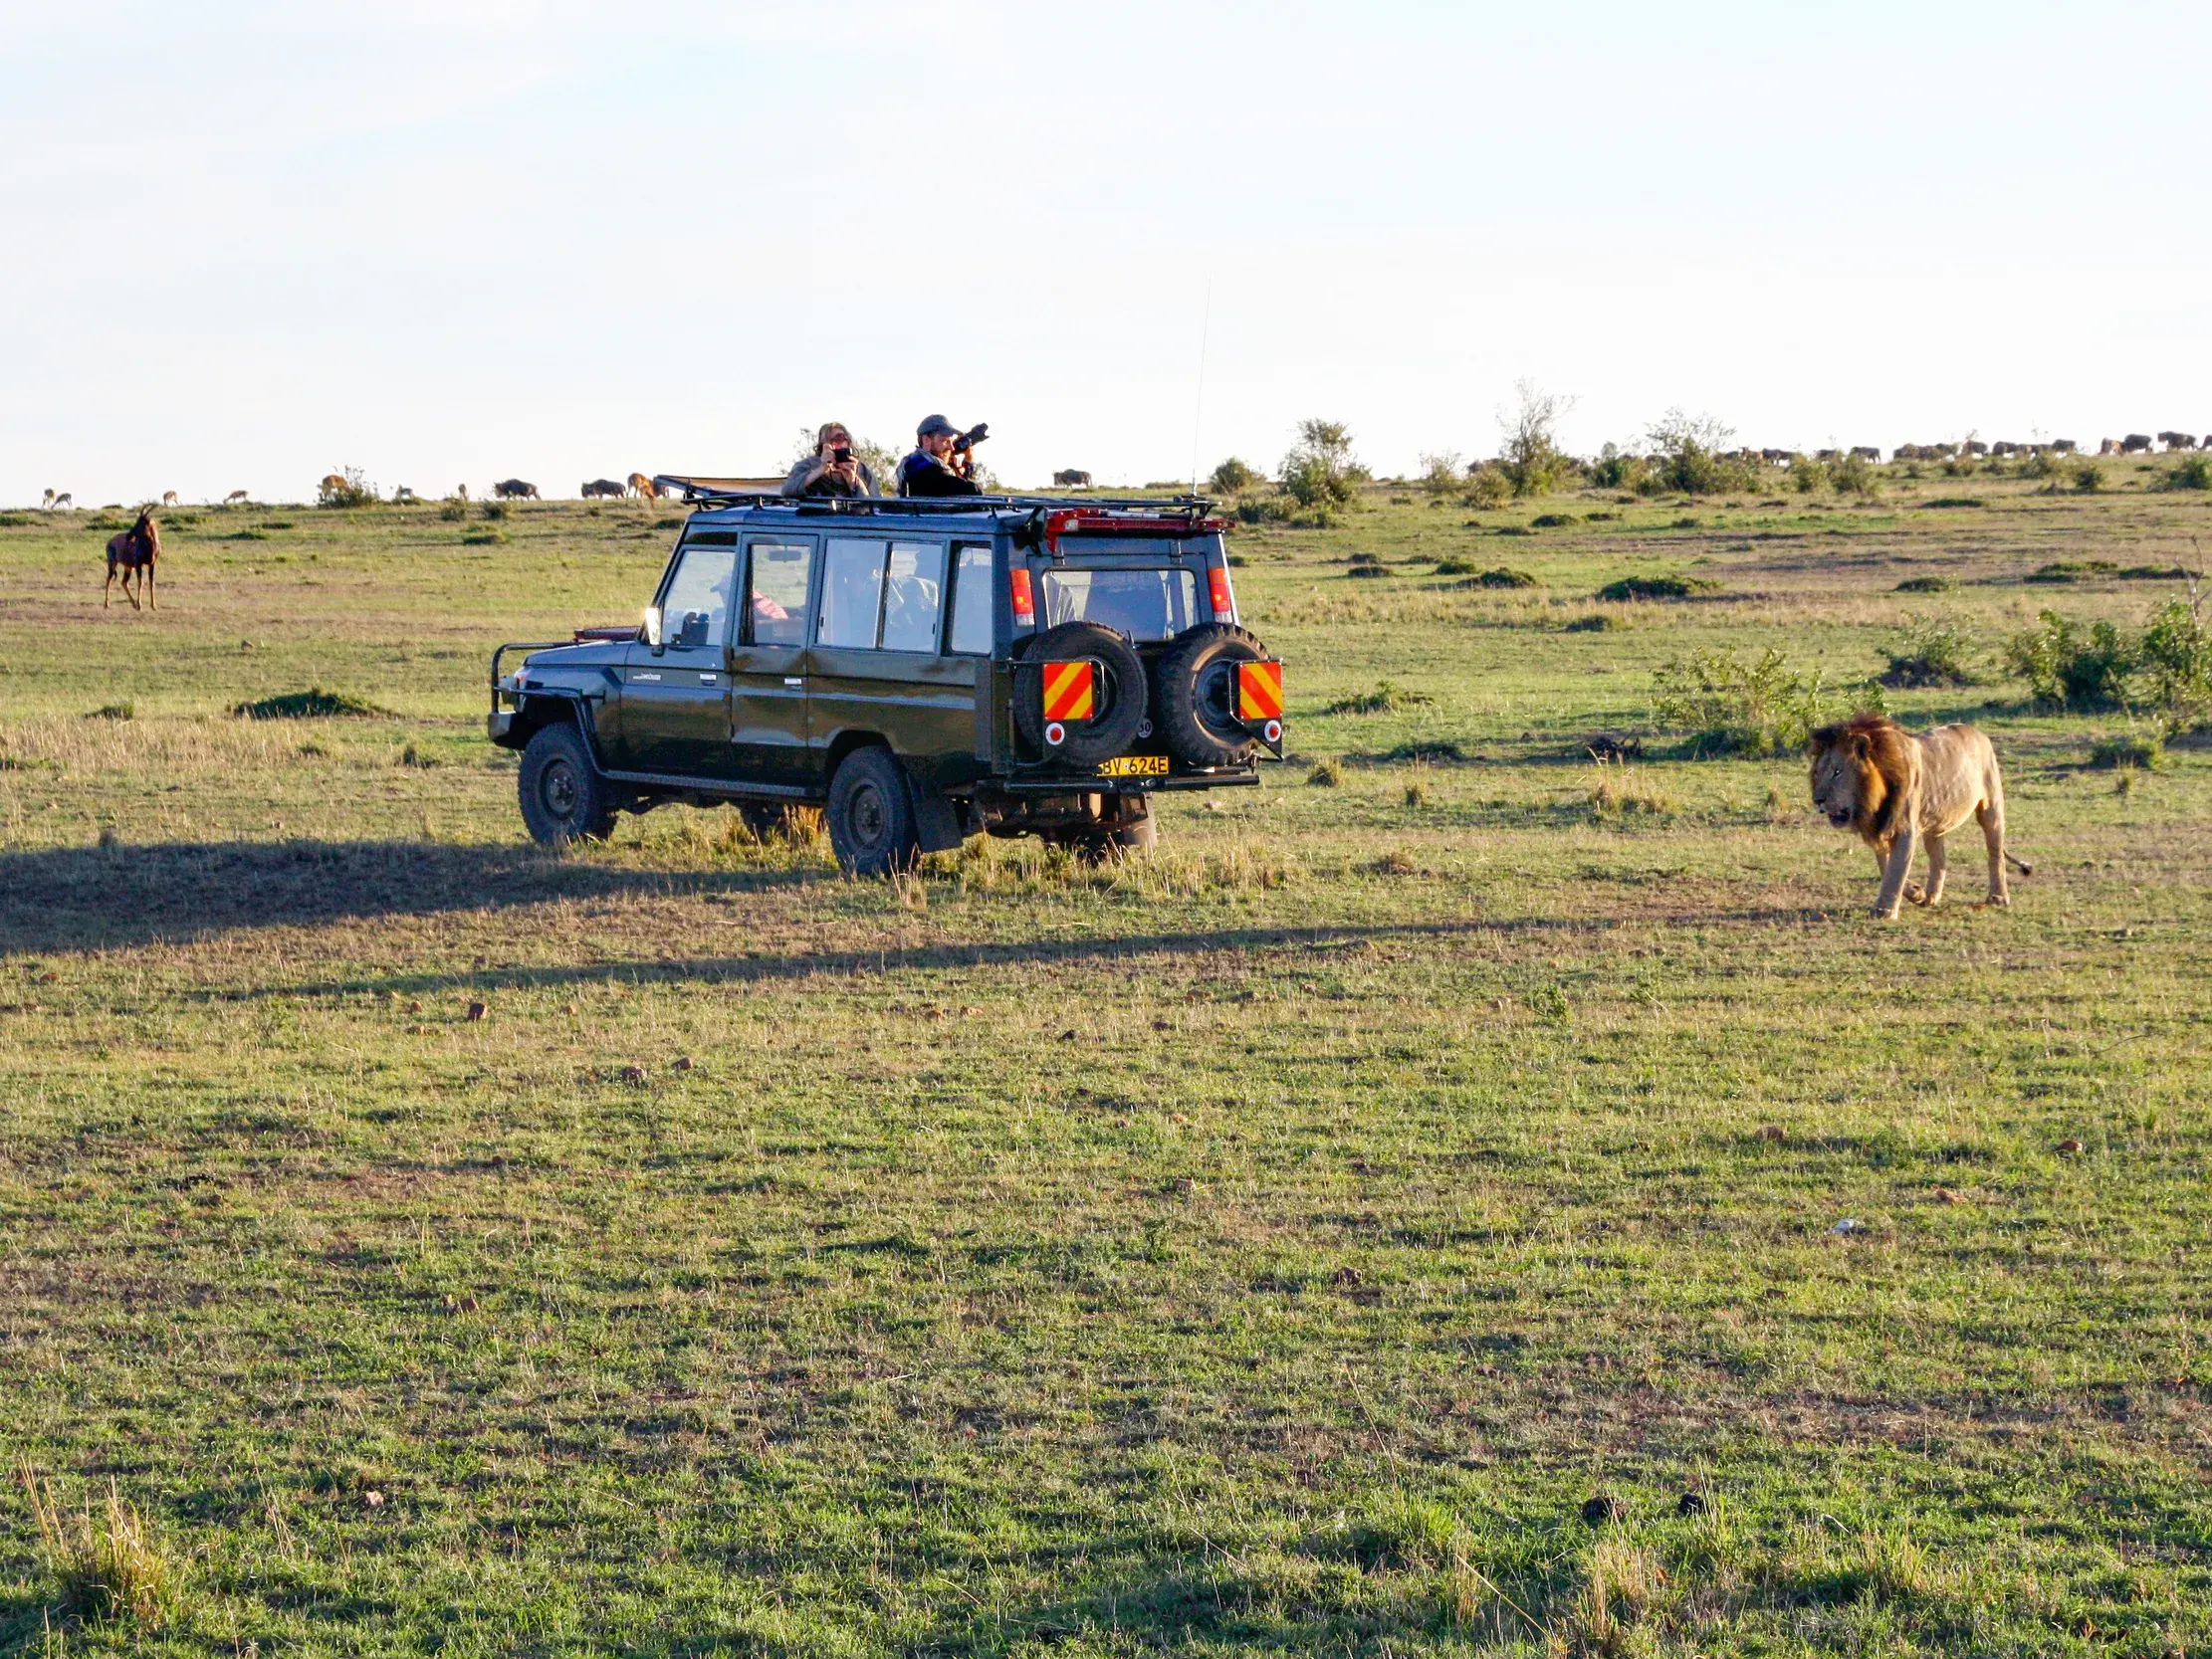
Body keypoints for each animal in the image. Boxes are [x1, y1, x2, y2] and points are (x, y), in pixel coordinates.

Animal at [1808, 712, 2031, 920]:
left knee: (1995, 853)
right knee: (1939, 858)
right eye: (1817, 773)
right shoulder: (1880, 828)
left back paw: (1998, 897)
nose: (1817, 800)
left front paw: (1884, 911)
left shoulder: (1905, 828)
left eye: (1838, 772)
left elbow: (1896, 868)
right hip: (1937, 818)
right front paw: (1916, 892)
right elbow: (1886, 867)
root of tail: (1977, 731)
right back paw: (1930, 897)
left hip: (1991, 807)